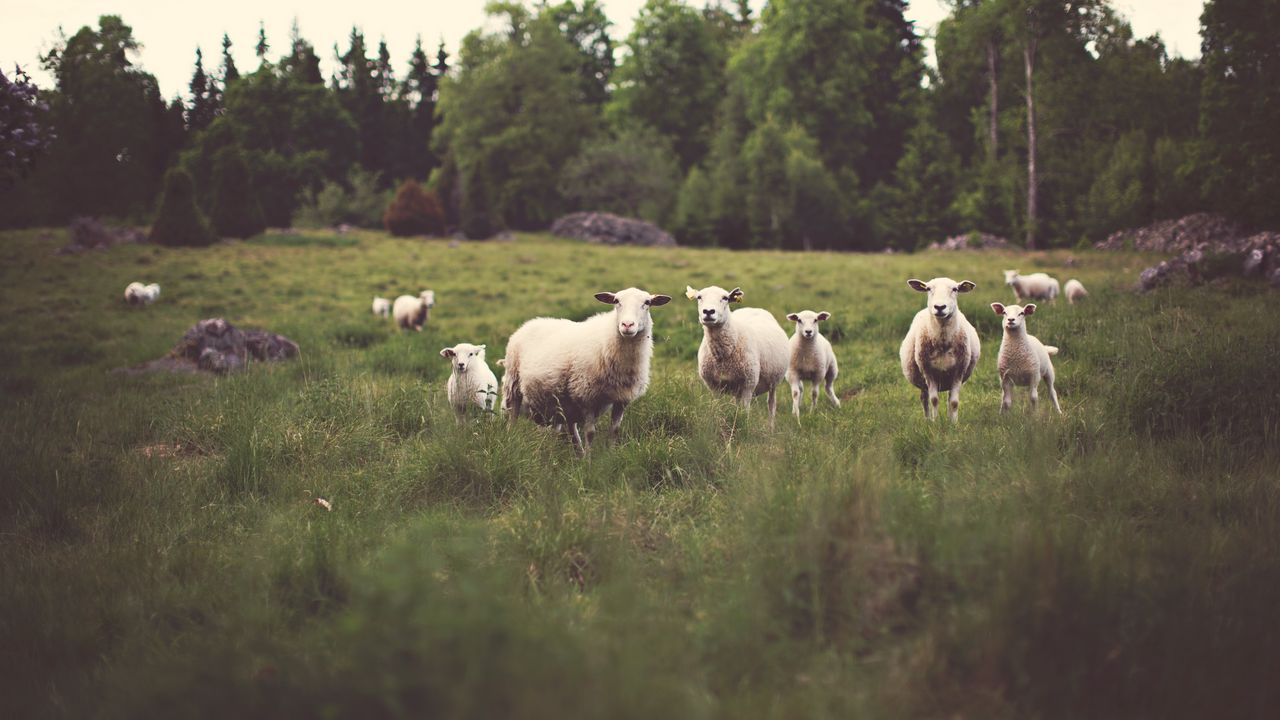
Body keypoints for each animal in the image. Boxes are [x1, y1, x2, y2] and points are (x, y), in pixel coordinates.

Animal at [501, 285, 675, 448]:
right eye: (616, 301)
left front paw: (610, 455)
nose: (627, 324)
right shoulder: (588, 396)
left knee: (570, 428)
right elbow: (590, 433)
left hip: (563, 401)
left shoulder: (621, 399)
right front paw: (590, 460)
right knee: (512, 417)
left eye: (647, 303)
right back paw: (510, 440)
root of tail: (531, 322)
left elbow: (614, 431)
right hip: (513, 383)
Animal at [691, 281, 788, 427]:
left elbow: (744, 411)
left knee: (771, 405)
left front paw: (743, 426)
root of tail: (754, 308)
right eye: (699, 297)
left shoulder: (749, 384)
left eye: (725, 298)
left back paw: (770, 428)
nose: (708, 311)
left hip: (773, 382)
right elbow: (717, 407)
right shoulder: (714, 385)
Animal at [901, 275, 977, 420]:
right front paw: (935, 422)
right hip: (923, 381)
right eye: (928, 289)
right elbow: (934, 400)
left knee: (948, 399)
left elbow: (954, 402)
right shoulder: (927, 371)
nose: (940, 307)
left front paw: (953, 423)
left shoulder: (959, 370)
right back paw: (927, 420)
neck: (943, 342)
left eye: (955, 289)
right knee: (924, 398)